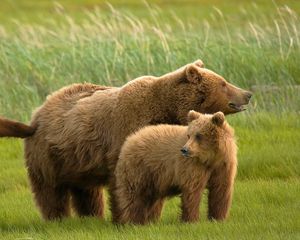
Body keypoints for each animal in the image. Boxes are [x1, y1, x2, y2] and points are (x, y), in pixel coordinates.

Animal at [0, 60, 251, 219]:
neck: (166, 108)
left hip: (77, 160)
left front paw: (152, 214)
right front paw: (127, 217)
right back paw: (58, 217)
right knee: (51, 190)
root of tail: (38, 113)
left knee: (86, 191)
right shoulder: (125, 131)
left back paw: (92, 216)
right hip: (49, 155)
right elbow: (124, 179)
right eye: (223, 83)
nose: (248, 94)